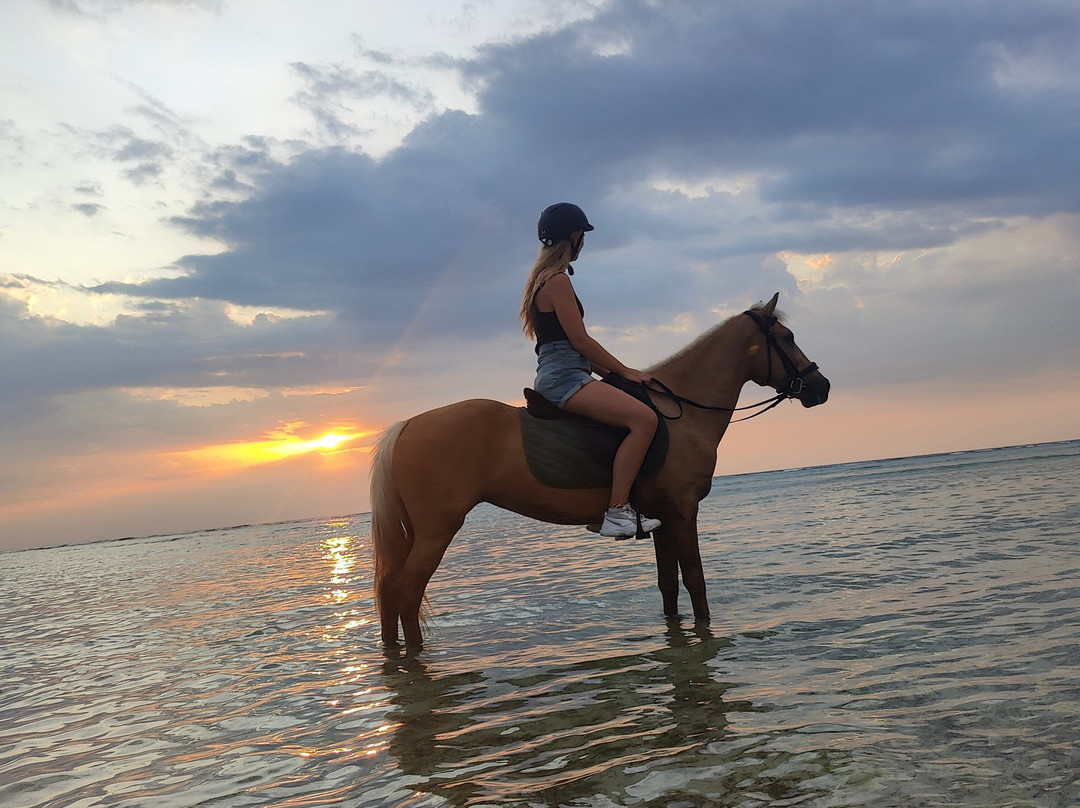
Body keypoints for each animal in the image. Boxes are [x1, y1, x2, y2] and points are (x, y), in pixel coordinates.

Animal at [370, 292, 830, 649]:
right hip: (437, 530)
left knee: (389, 594)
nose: (822, 387)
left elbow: (668, 586)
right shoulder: (683, 511)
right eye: (787, 338)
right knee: (405, 593)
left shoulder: (662, 518)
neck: (684, 411)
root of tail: (406, 426)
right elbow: (696, 583)